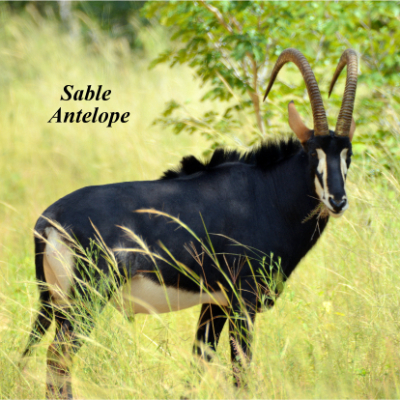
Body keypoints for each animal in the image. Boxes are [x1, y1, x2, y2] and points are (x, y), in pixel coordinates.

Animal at [21, 48, 358, 398]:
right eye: (313, 153)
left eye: (348, 154)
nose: (337, 200)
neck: (268, 193)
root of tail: (49, 221)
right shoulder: (243, 301)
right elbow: (240, 371)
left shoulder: (215, 303)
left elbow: (198, 361)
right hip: (85, 300)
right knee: (58, 357)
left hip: (56, 305)